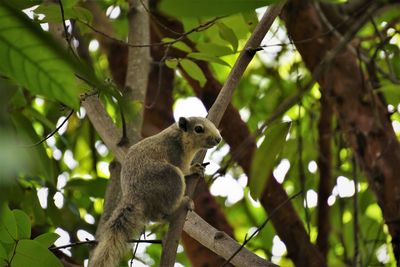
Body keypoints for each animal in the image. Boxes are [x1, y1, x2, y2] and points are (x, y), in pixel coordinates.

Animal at [89, 117, 222, 267]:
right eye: (198, 129)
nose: (218, 139)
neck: (180, 136)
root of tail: (134, 195)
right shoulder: (175, 153)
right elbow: (184, 169)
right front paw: (193, 168)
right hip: (170, 177)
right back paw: (181, 205)